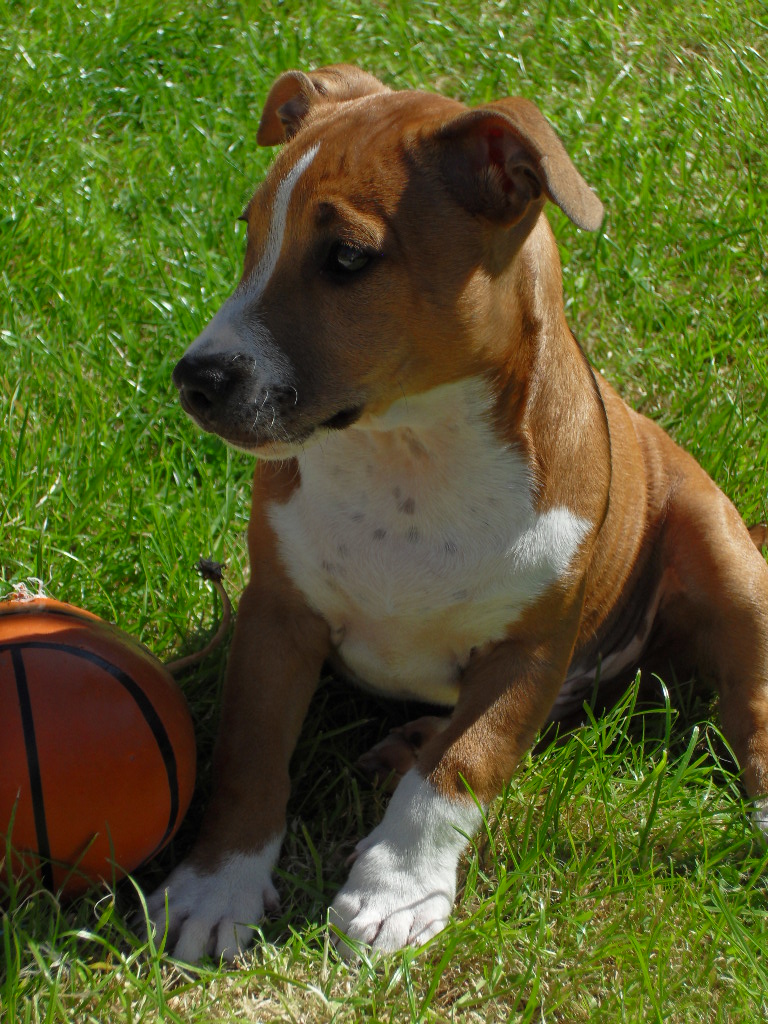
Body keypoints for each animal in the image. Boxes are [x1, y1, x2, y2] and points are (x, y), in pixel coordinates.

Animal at [148, 64, 768, 958]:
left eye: (347, 258)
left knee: (751, 706)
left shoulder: (530, 653)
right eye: (252, 231)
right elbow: (249, 753)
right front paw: (215, 885)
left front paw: (396, 888)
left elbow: (465, 764)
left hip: (722, 549)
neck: (411, 452)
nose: (196, 379)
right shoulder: (276, 615)